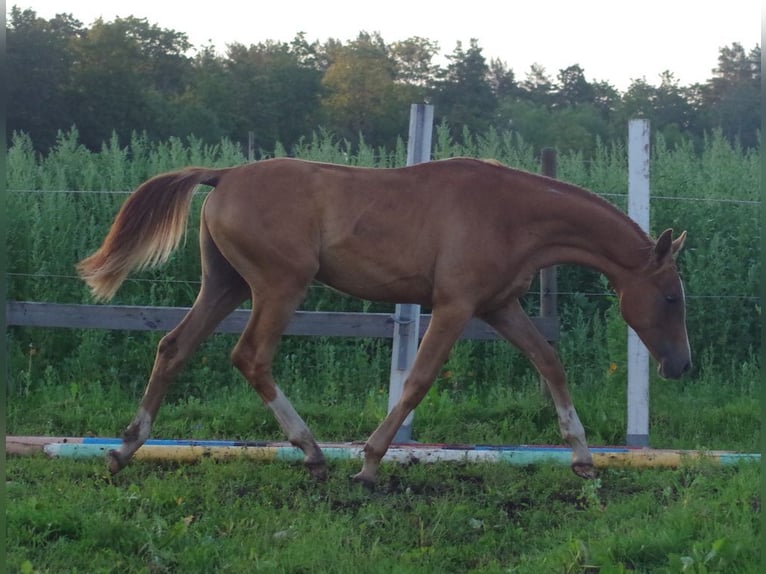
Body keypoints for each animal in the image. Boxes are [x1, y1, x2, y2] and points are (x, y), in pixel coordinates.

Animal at [79, 158, 696, 486]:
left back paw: (123, 449)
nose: (680, 366)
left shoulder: (499, 306)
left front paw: (584, 459)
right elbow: (418, 379)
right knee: (250, 356)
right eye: (671, 297)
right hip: (279, 286)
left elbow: (549, 362)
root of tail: (224, 174)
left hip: (225, 285)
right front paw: (370, 462)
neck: (512, 214)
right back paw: (313, 452)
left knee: (173, 347)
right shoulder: (455, 305)